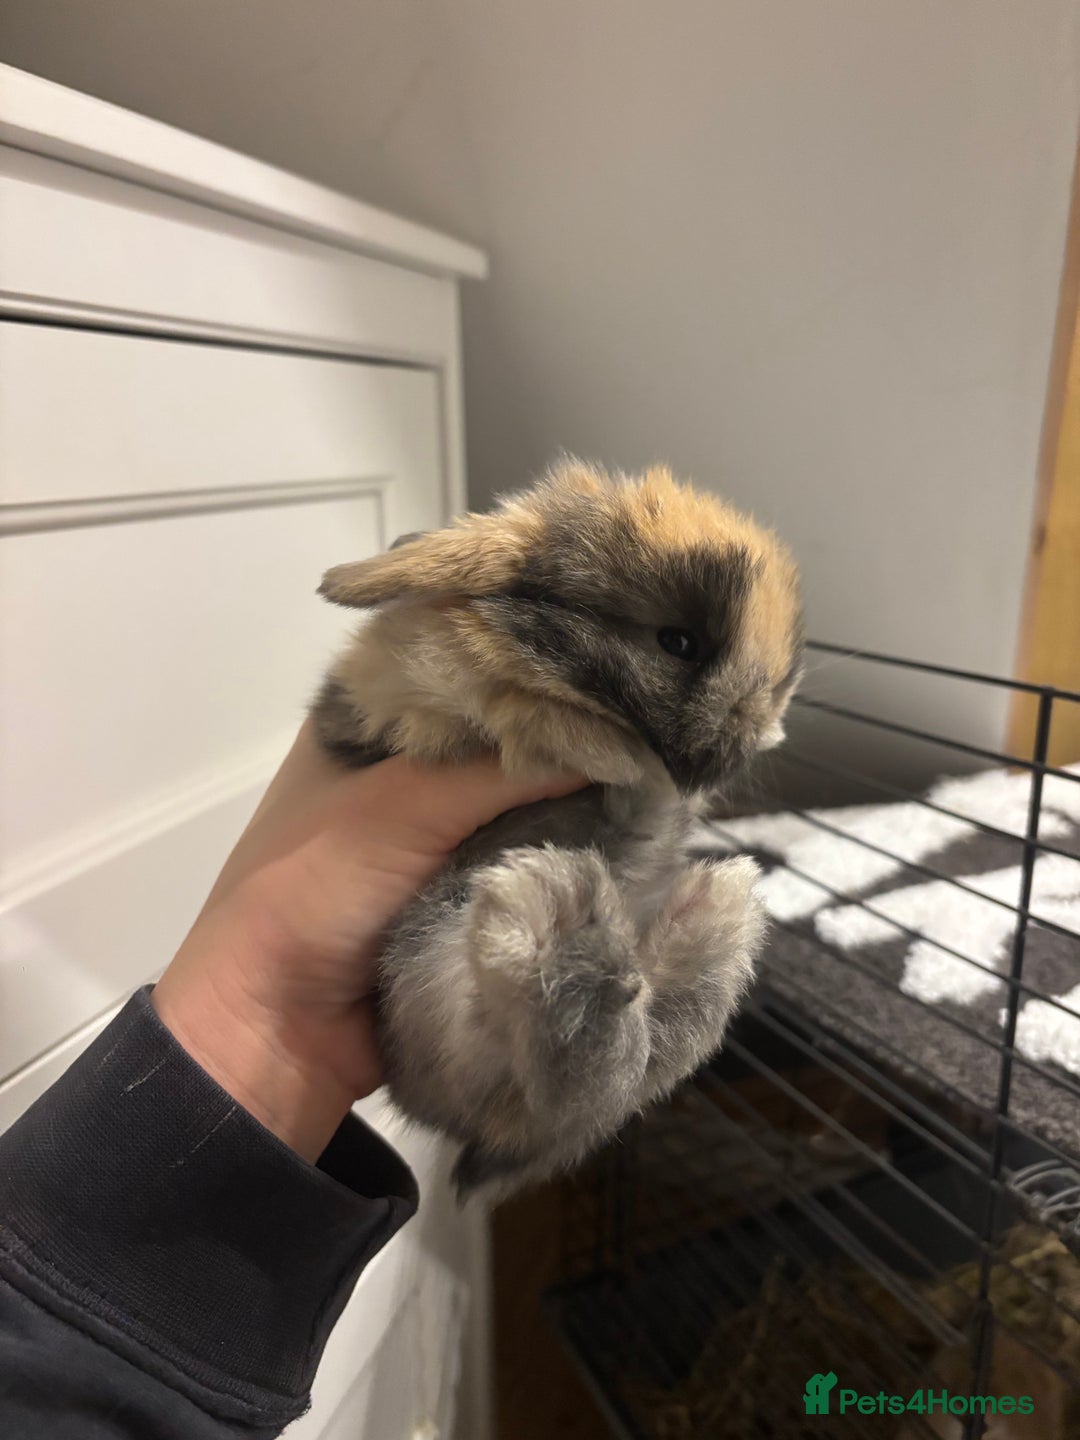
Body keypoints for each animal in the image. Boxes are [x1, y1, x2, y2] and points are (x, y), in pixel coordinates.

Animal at [311, 459, 803, 1197]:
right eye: (679, 643)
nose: (765, 730)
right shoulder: (417, 687)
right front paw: (600, 746)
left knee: (625, 1063)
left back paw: (691, 913)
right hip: (433, 963)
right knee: (577, 1071)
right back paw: (563, 914)